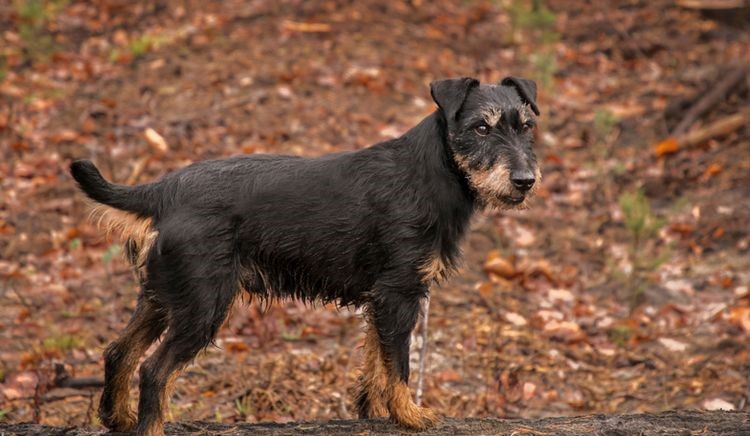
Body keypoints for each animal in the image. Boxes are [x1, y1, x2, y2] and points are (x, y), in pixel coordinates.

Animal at [69, 76, 540, 434]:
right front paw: (410, 416)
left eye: (526, 126)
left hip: (164, 297)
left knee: (119, 351)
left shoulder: (381, 301)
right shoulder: (398, 295)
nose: (525, 181)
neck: (433, 172)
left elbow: (376, 364)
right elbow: (399, 366)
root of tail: (164, 190)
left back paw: (118, 418)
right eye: (481, 128)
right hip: (203, 306)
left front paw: (375, 414)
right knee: (154, 371)